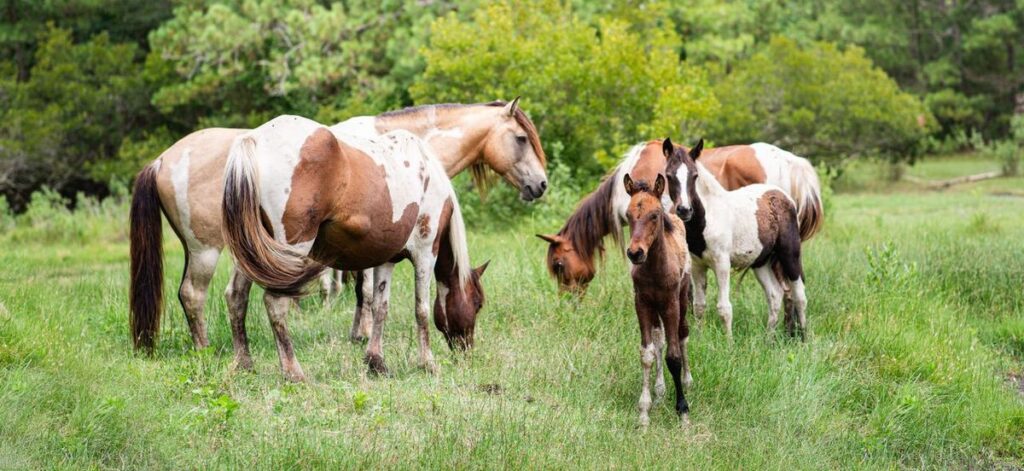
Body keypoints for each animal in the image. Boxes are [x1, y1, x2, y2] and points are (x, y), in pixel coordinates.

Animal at [129, 99, 546, 353]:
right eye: (521, 139)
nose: (541, 184)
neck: (402, 152)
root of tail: (162, 159)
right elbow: (367, 291)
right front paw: (362, 335)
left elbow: (364, 290)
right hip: (206, 251)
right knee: (192, 295)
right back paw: (206, 351)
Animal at [622, 172, 692, 427]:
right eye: (628, 215)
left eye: (654, 215)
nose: (635, 253)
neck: (654, 269)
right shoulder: (642, 303)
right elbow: (648, 353)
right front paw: (644, 411)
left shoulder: (671, 304)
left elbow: (674, 356)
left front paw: (683, 411)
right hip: (655, 309)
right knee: (659, 338)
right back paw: (660, 391)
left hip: (683, 299)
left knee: (682, 334)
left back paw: (688, 381)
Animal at [664, 138, 808, 339]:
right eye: (669, 176)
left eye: (694, 175)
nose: (684, 210)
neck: (708, 217)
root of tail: (784, 196)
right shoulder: (697, 266)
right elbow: (699, 306)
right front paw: (699, 339)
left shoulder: (722, 263)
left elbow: (724, 308)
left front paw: (729, 342)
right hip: (761, 262)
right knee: (775, 296)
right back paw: (768, 340)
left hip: (790, 254)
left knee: (800, 295)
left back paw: (805, 338)